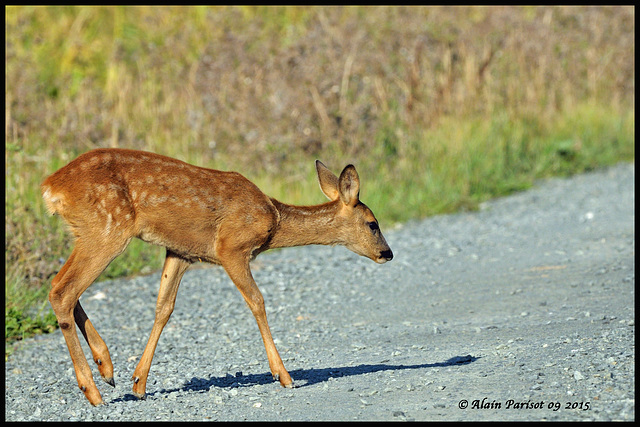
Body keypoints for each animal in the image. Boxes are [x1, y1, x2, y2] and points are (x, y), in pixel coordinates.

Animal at [42, 149, 392, 406]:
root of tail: (51, 187)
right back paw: (93, 391)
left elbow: (164, 308)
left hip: (90, 232)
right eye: (373, 223)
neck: (274, 220)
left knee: (62, 287)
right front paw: (284, 376)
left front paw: (139, 383)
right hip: (107, 229)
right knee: (62, 290)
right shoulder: (231, 247)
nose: (387, 253)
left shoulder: (181, 251)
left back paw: (107, 367)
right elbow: (257, 302)